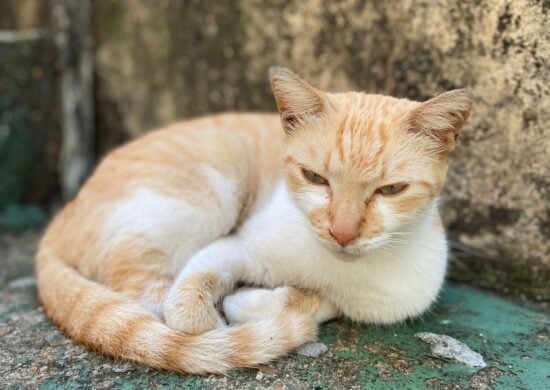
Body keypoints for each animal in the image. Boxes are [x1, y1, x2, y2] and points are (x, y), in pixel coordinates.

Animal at [35, 68, 474, 374]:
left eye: (391, 189)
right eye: (315, 178)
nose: (343, 232)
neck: (337, 271)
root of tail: (63, 216)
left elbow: (315, 303)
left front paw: (263, 300)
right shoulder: (237, 244)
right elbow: (187, 304)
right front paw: (224, 317)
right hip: (210, 197)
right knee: (140, 292)